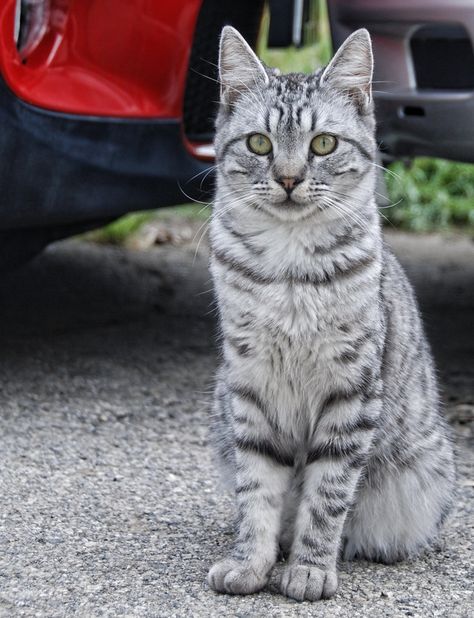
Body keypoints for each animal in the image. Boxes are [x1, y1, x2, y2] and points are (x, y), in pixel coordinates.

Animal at [207, 26, 456, 600]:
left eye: (323, 144)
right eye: (258, 143)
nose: (289, 179)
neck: (289, 266)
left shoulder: (351, 392)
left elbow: (327, 496)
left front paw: (310, 570)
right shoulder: (250, 384)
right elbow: (257, 490)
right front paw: (249, 563)